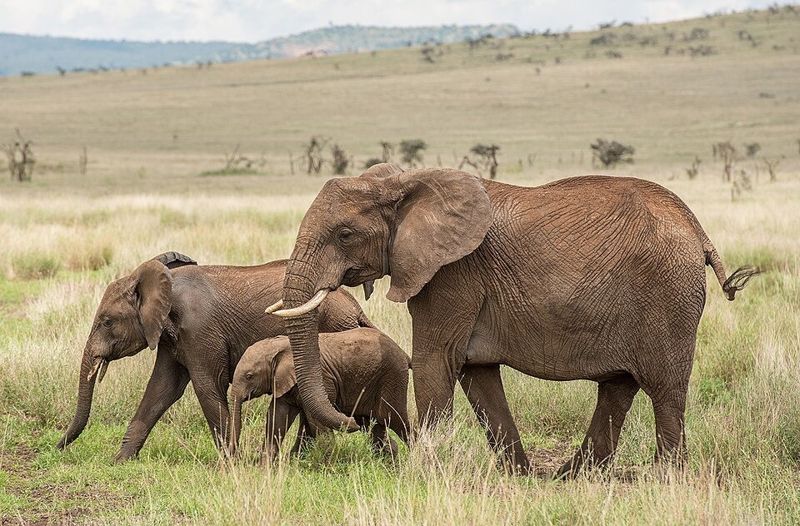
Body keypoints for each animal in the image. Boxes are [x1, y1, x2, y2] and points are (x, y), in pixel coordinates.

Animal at [57, 252, 373, 461]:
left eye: (106, 322)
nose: (57, 447)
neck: (166, 283)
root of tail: (355, 307)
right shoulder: (172, 337)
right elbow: (161, 389)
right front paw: (120, 460)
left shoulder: (200, 331)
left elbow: (206, 387)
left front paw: (231, 464)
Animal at [228, 327, 411, 460]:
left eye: (249, 376)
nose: (236, 457)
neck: (279, 346)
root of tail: (403, 353)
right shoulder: (283, 384)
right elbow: (277, 417)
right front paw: (267, 465)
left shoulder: (322, 380)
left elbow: (314, 420)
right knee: (373, 425)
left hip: (393, 378)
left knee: (395, 419)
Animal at [267, 163, 760, 476]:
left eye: (344, 234)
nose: (353, 421)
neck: (409, 182)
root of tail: (697, 229)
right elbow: (477, 373)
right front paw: (516, 475)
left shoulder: (452, 275)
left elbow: (433, 362)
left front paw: (424, 472)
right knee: (618, 387)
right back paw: (570, 476)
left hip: (668, 299)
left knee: (665, 391)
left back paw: (666, 479)